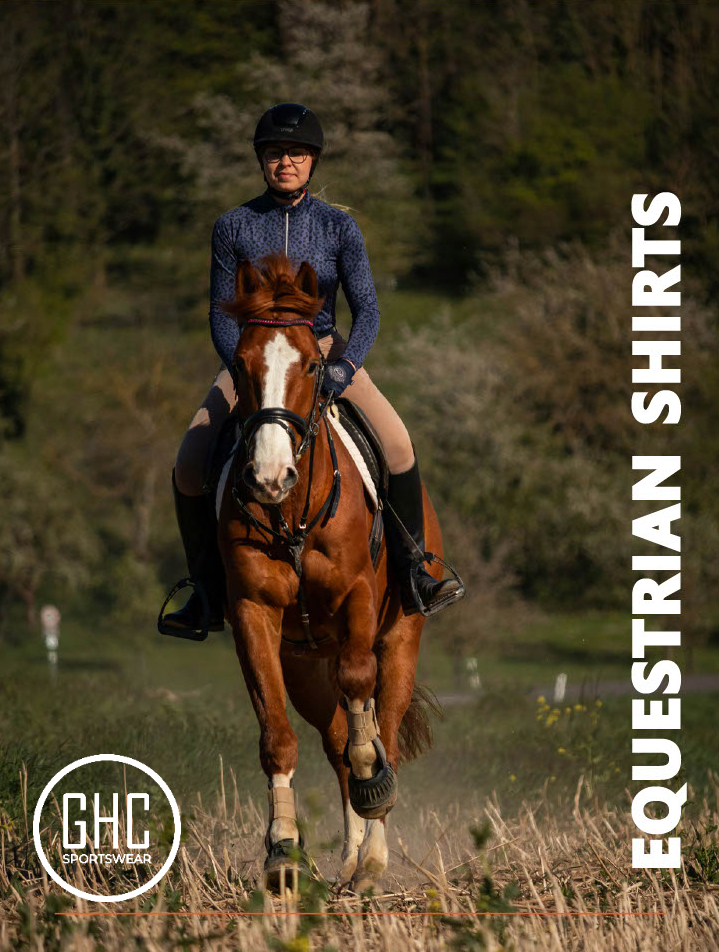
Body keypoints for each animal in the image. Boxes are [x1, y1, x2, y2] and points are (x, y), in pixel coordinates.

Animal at [216, 253, 446, 892]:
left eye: (315, 365)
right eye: (240, 363)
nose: (269, 477)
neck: (290, 515)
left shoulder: (359, 600)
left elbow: (366, 712)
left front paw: (374, 785)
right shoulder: (255, 618)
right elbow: (277, 738)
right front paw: (282, 854)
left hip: (401, 636)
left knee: (379, 722)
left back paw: (371, 862)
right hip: (305, 667)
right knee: (338, 736)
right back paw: (347, 860)